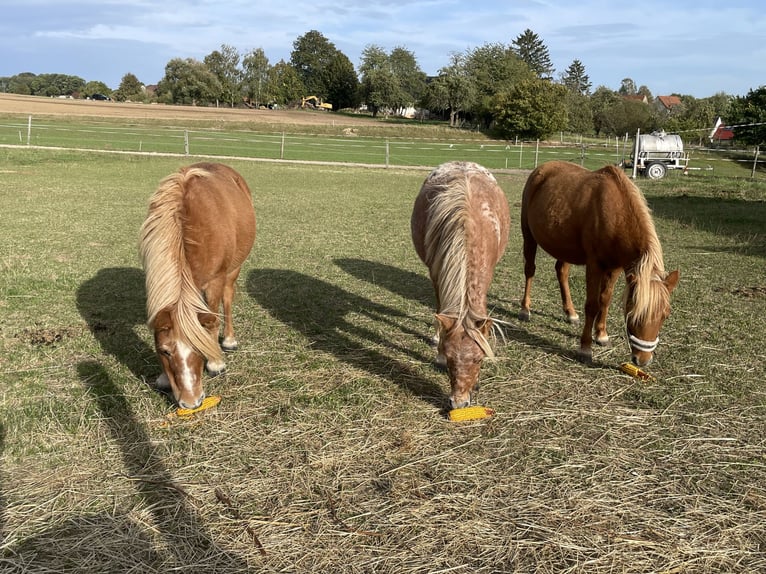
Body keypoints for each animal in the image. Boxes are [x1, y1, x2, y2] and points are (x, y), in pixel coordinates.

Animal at [140, 164, 256, 412]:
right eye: (164, 351)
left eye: (199, 348)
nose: (191, 402)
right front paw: (163, 378)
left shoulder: (215, 281)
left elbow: (211, 320)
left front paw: (216, 363)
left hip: (233, 269)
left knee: (227, 300)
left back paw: (229, 340)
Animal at [412, 161, 512, 410]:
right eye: (449, 358)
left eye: (478, 359)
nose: (458, 403)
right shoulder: (435, 272)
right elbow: (441, 309)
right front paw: (437, 346)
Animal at [520, 161, 680, 368]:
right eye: (633, 314)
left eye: (665, 315)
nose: (643, 361)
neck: (615, 213)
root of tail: (541, 169)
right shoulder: (594, 266)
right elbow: (592, 305)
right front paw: (586, 348)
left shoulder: (615, 268)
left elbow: (605, 300)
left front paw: (601, 335)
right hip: (529, 236)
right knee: (530, 270)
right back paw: (525, 309)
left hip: (564, 246)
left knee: (561, 272)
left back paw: (570, 313)